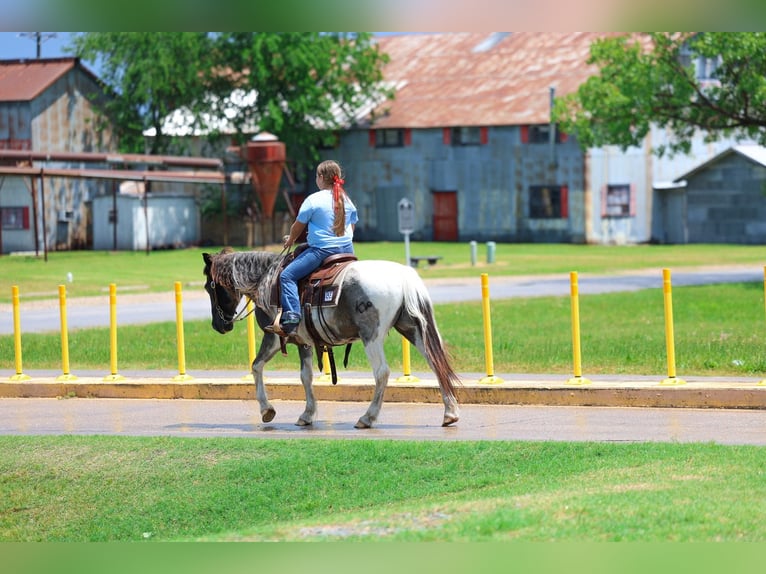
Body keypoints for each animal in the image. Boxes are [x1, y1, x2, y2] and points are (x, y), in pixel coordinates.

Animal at [202, 248, 460, 429]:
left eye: (209, 287)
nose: (219, 325)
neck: (267, 280)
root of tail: (403, 275)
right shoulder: (303, 341)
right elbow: (305, 376)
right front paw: (307, 415)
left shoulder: (273, 337)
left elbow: (256, 366)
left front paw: (267, 410)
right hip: (412, 328)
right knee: (435, 363)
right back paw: (450, 413)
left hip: (372, 336)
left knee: (382, 372)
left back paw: (367, 417)